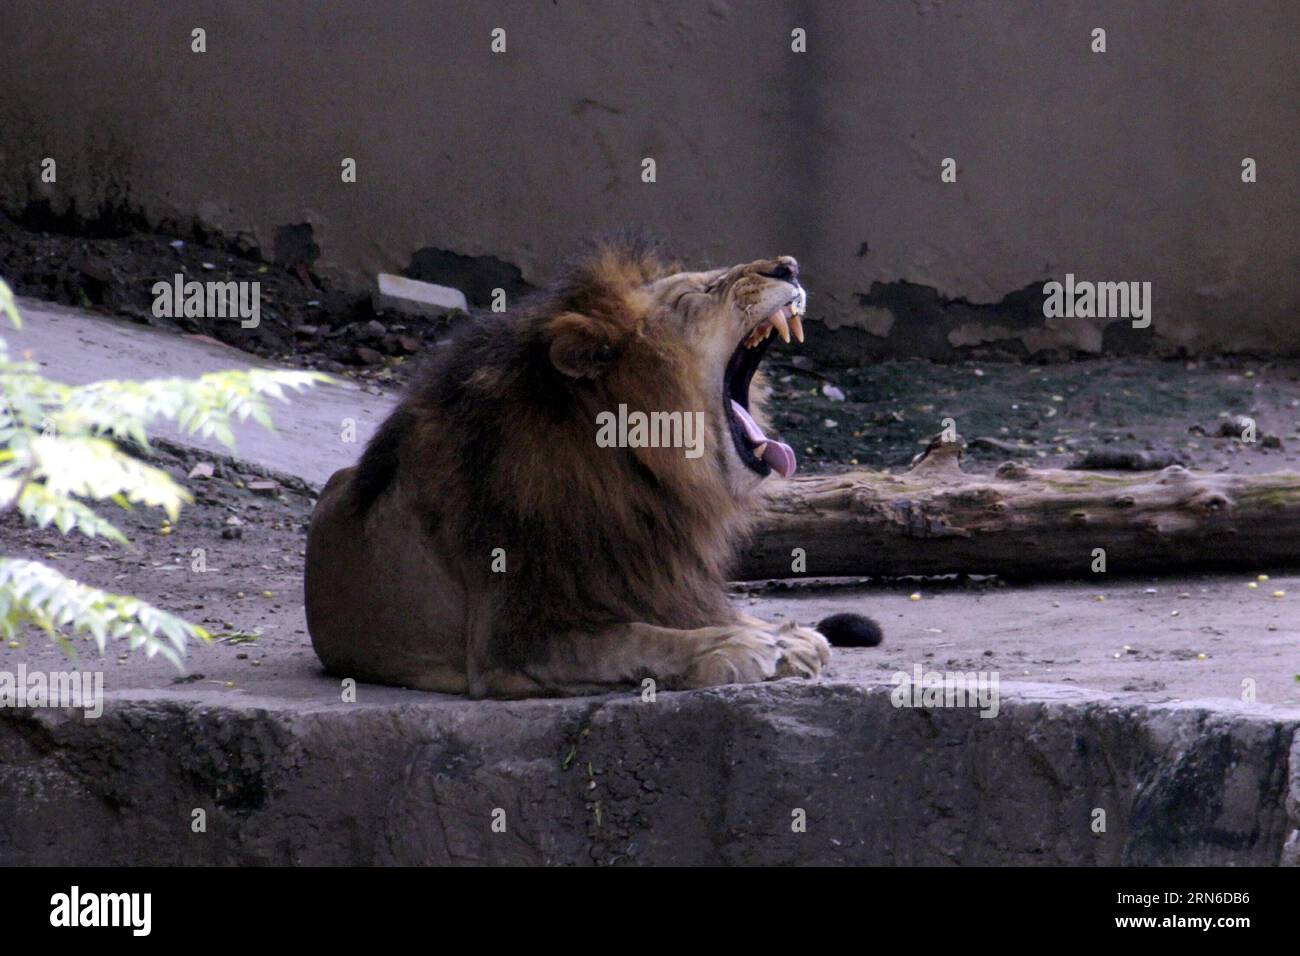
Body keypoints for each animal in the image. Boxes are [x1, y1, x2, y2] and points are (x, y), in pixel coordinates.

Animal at [304, 243, 878, 697]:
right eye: (695, 296)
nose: (789, 266)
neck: (631, 472)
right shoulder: (509, 644)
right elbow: (635, 638)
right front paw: (737, 645)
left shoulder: (655, 574)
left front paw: (785, 636)